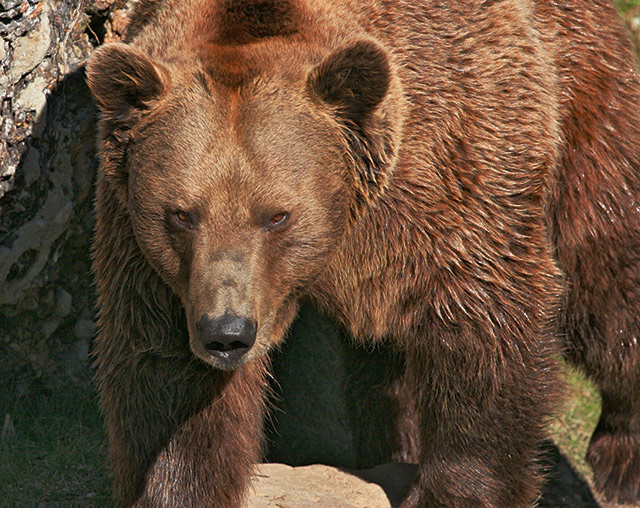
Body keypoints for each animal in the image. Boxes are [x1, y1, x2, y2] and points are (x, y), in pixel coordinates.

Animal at [85, 0, 640, 508]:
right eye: (182, 214)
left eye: (277, 215)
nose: (227, 332)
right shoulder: (145, 250)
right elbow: (169, 380)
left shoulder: (448, 175)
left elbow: (485, 322)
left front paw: (452, 492)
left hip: (577, 97)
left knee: (604, 270)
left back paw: (620, 458)